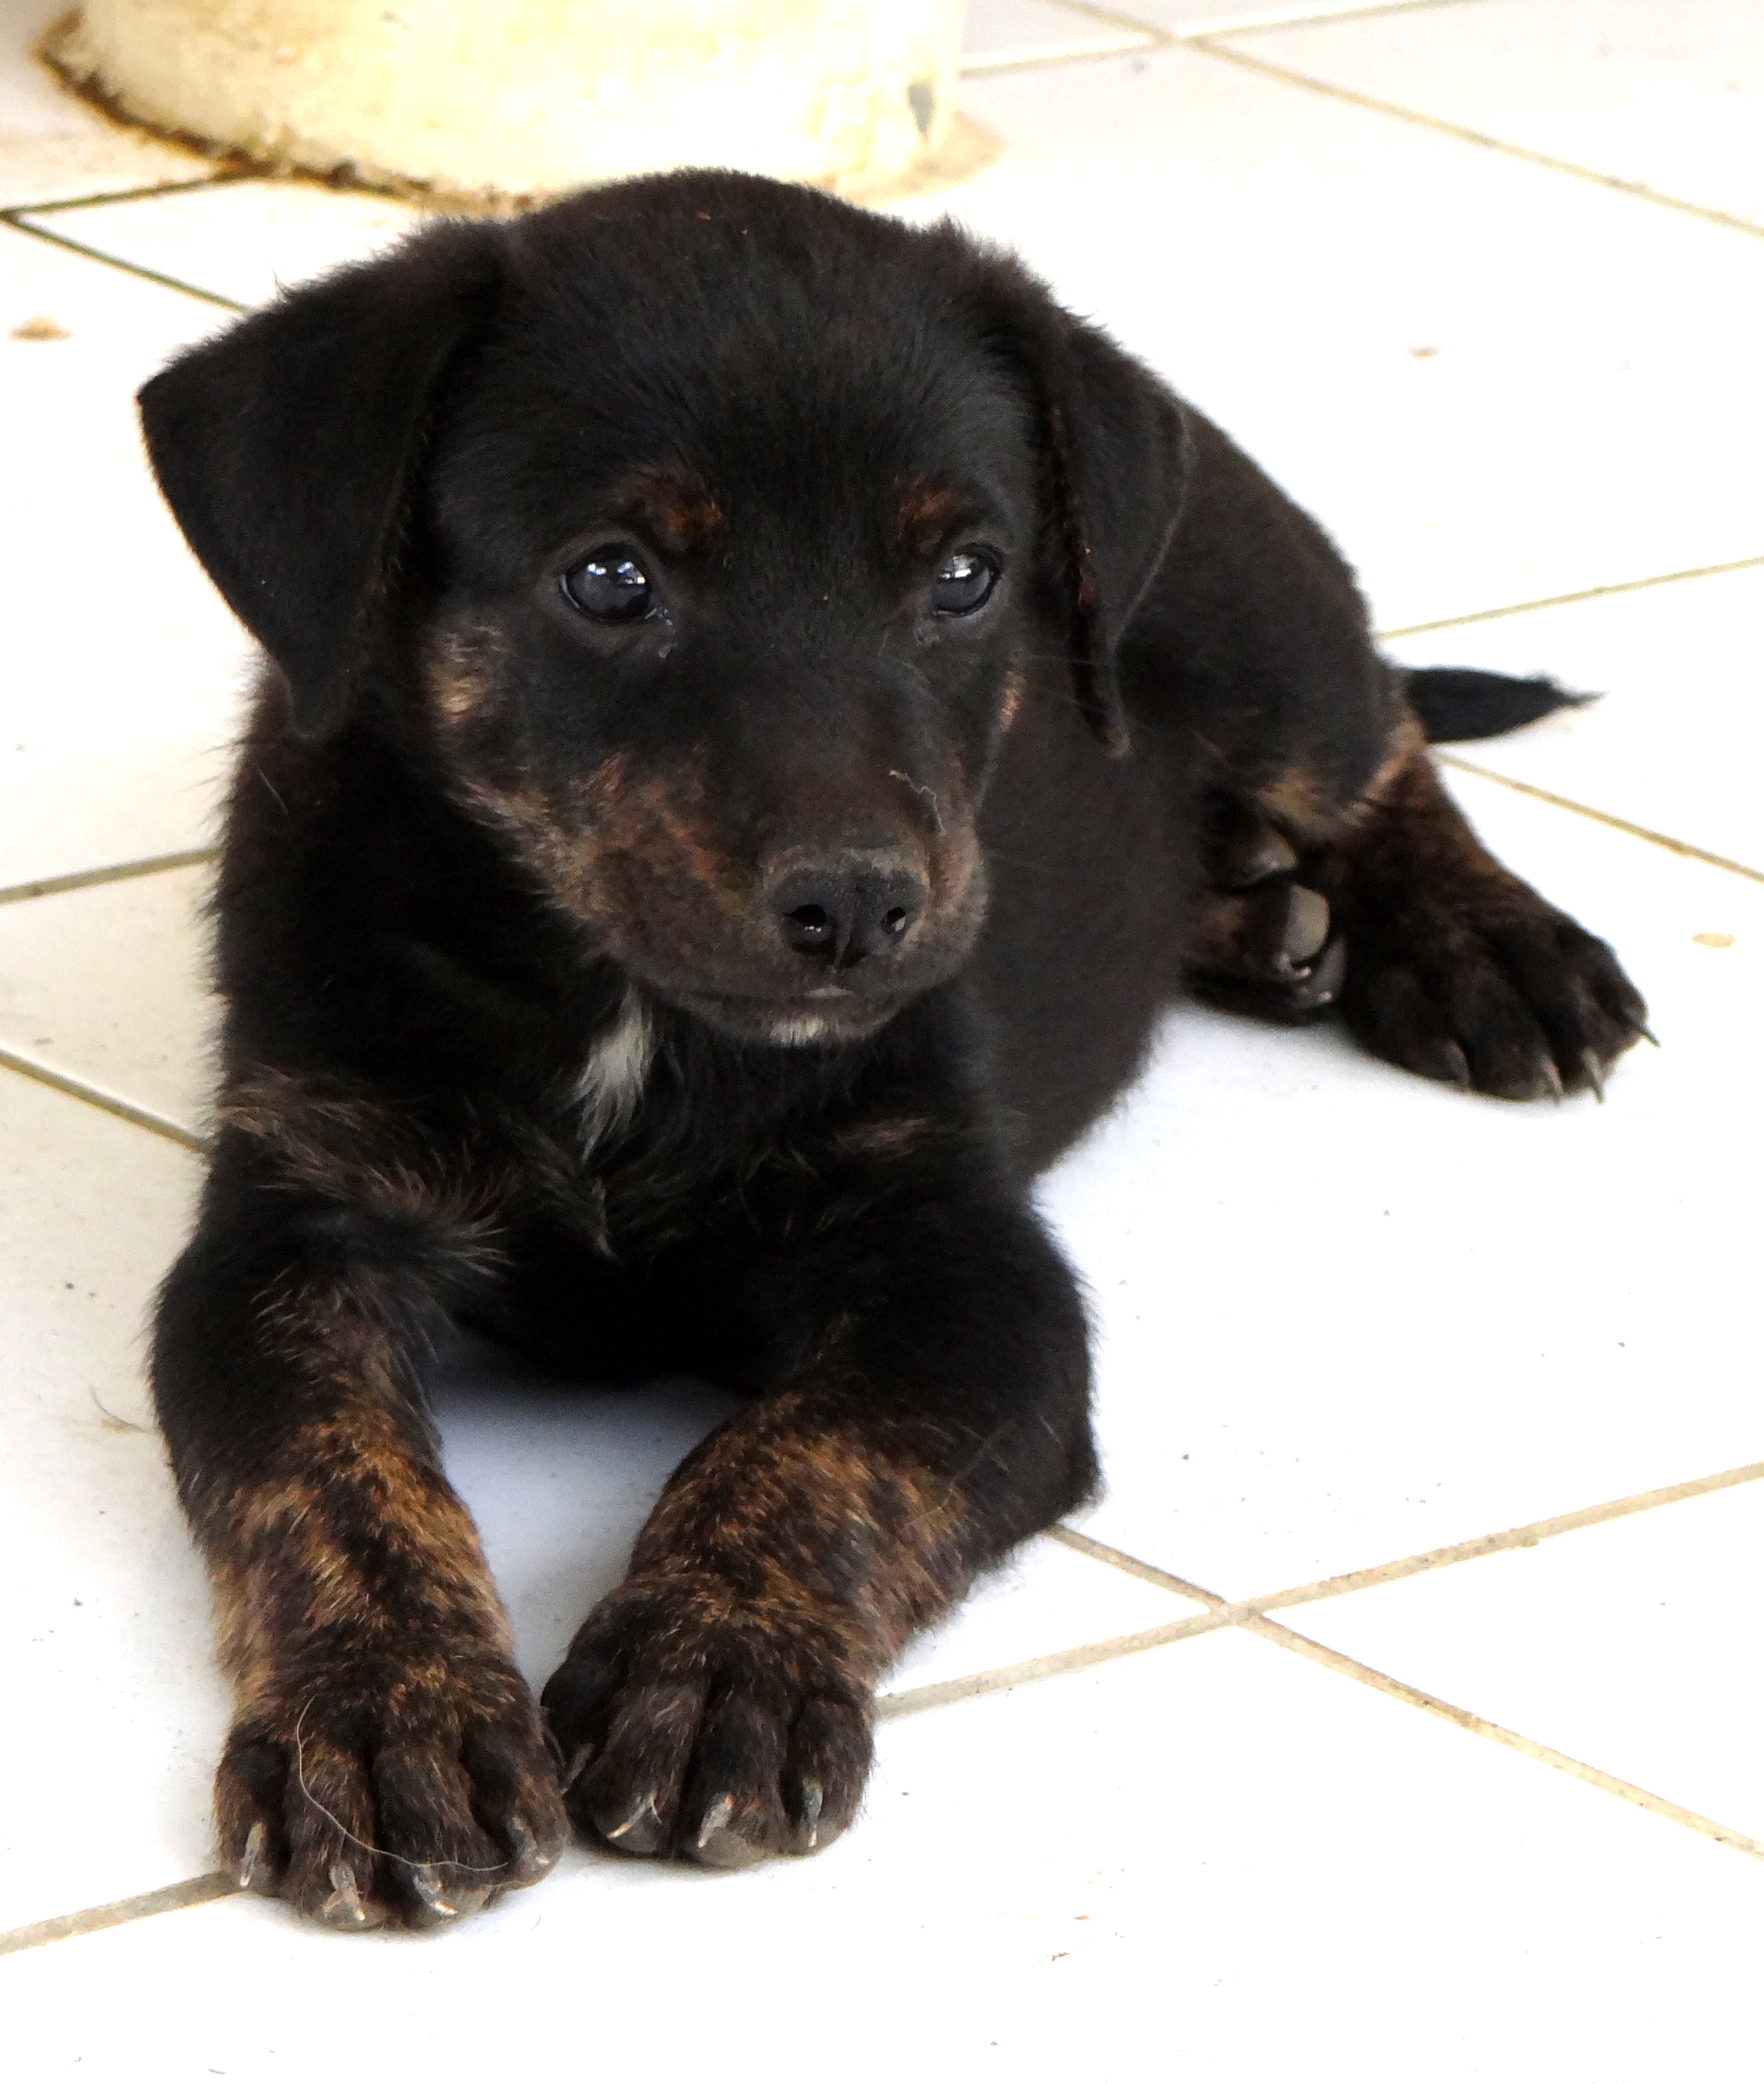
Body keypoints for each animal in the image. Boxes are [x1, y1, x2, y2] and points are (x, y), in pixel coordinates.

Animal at [137, 169, 1647, 1929]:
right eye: (609, 577)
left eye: (967, 576)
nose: (861, 905)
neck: (632, 1017)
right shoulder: (294, 1225)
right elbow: (325, 1468)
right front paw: (389, 1714)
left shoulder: (963, 1267)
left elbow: (809, 1450)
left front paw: (714, 1664)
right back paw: (1268, 926)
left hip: (1269, 630)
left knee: (1388, 745)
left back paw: (1490, 951)